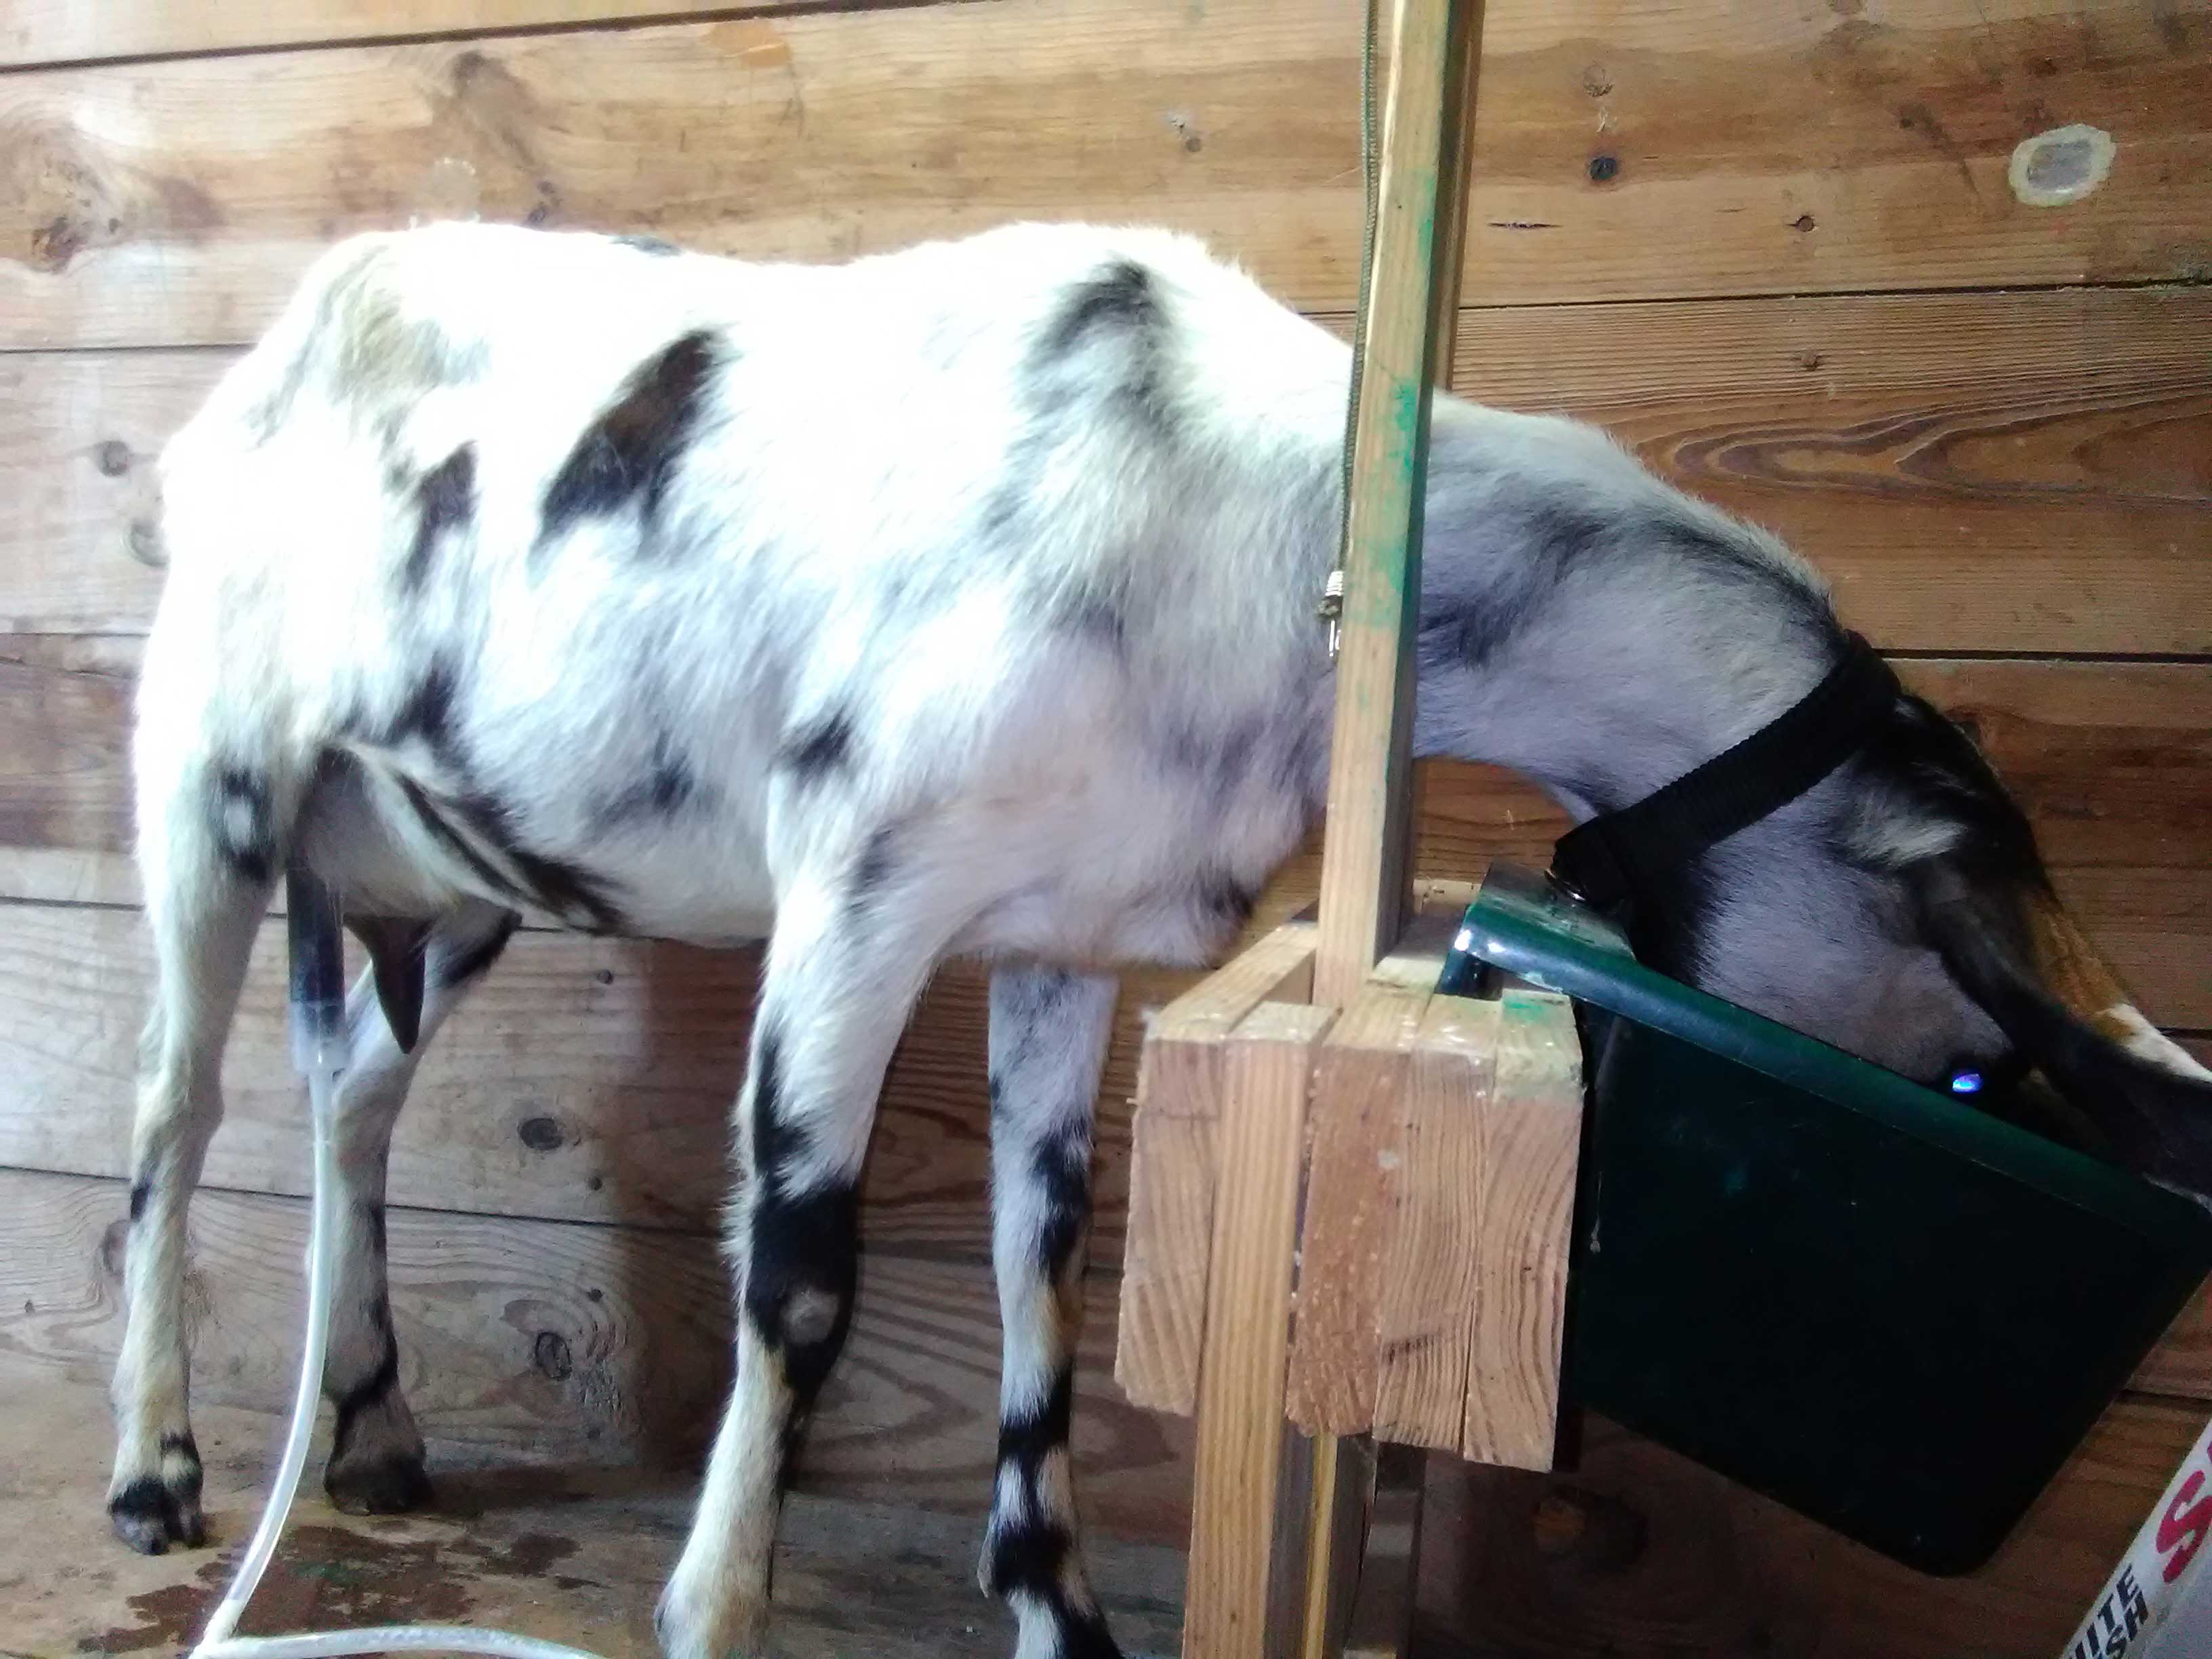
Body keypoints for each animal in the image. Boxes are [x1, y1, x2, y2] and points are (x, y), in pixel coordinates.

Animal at [117, 221, 2212, 1659]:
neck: (1277, 515)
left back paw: (373, 1426)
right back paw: (160, 1474)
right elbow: (803, 1276)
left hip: (448, 858)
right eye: (1971, 1057)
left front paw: (1056, 1606)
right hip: (208, 771)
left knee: (352, 1096)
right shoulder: (859, 882)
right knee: (173, 1119)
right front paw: (716, 1611)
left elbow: (1048, 1255)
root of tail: (297, 322)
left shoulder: (1060, 938)